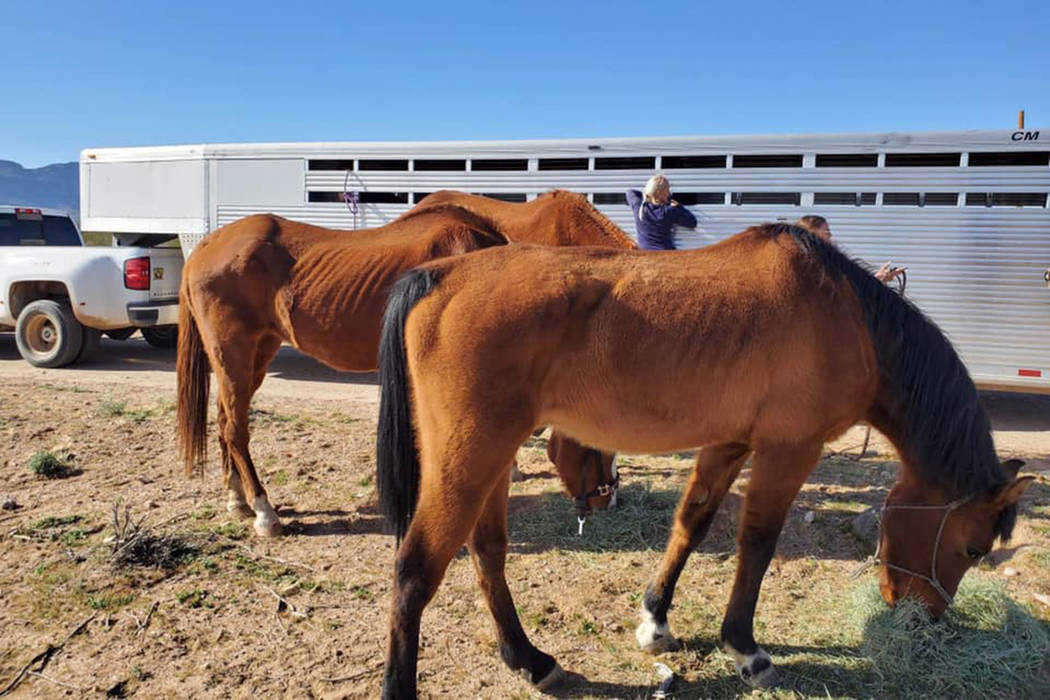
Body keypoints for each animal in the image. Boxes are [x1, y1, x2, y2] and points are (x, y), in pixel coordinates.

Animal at [176, 193, 629, 536]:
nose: (610, 497)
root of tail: (205, 247)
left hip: (255, 355)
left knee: (225, 421)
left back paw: (237, 499)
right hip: (234, 355)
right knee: (236, 430)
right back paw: (264, 511)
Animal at [375, 223, 1033, 697]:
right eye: (973, 548)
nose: (925, 620)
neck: (846, 315)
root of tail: (440, 276)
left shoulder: (728, 444)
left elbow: (690, 525)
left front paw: (655, 621)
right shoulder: (790, 450)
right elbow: (758, 543)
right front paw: (745, 648)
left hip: (490, 459)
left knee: (487, 551)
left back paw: (530, 660)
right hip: (469, 457)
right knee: (415, 571)